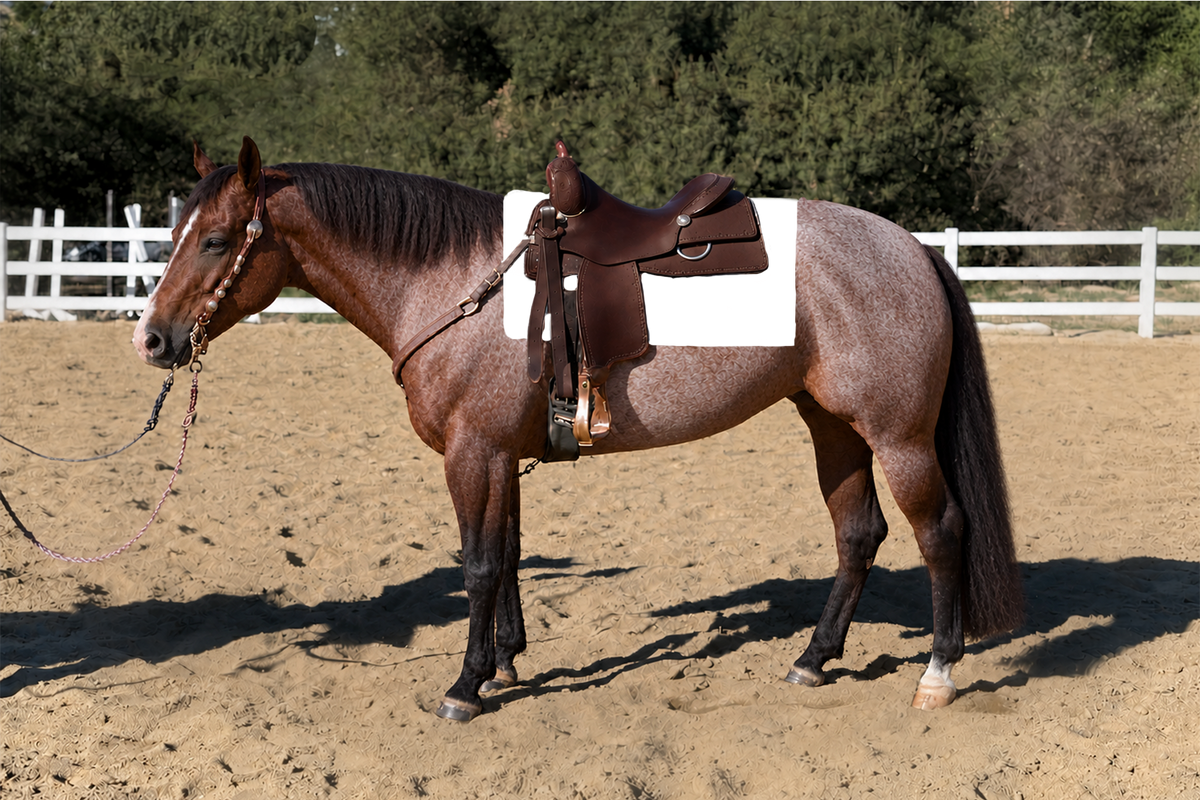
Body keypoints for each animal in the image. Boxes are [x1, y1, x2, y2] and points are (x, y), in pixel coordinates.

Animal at [133, 136, 1024, 722]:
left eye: (216, 240)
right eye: (172, 234)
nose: (152, 340)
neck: (459, 285)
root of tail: (911, 247)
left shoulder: (474, 451)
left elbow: (479, 565)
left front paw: (465, 687)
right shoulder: (500, 455)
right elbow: (506, 557)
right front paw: (503, 664)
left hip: (899, 436)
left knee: (941, 532)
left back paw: (938, 673)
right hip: (832, 425)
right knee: (858, 534)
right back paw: (812, 660)